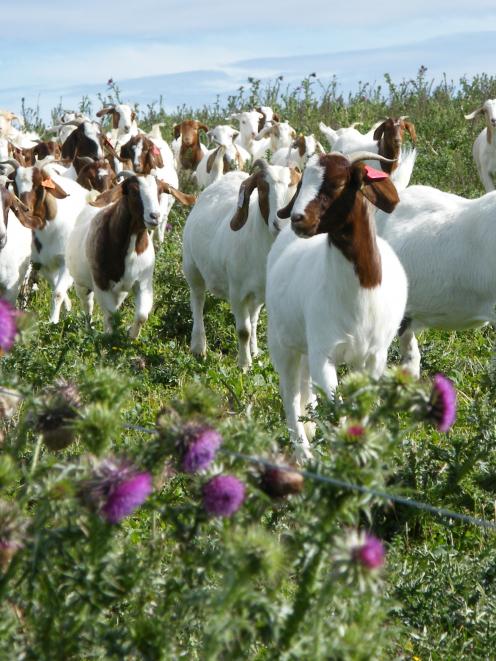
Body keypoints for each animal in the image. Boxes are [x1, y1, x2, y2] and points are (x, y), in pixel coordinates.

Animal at [181, 158, 298, 368]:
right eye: (262, 189)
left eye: (294, 188)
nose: (280, 225)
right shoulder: (237, 292)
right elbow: (243, 331)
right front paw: (244, 365)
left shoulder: (262, 293)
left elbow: (253, 323)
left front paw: (253, 354)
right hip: (191, 266)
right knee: (197, 301)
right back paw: (198, 346)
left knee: (253, 317)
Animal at [268, 151, 406, 456]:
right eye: (302, 182)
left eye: (337, 184)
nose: (297, 219)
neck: (359, 297)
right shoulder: (324, 354)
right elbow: (337, 408)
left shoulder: (374, 356)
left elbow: (360, 408)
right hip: (282, 344)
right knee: (290, 395)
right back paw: (304, 453)